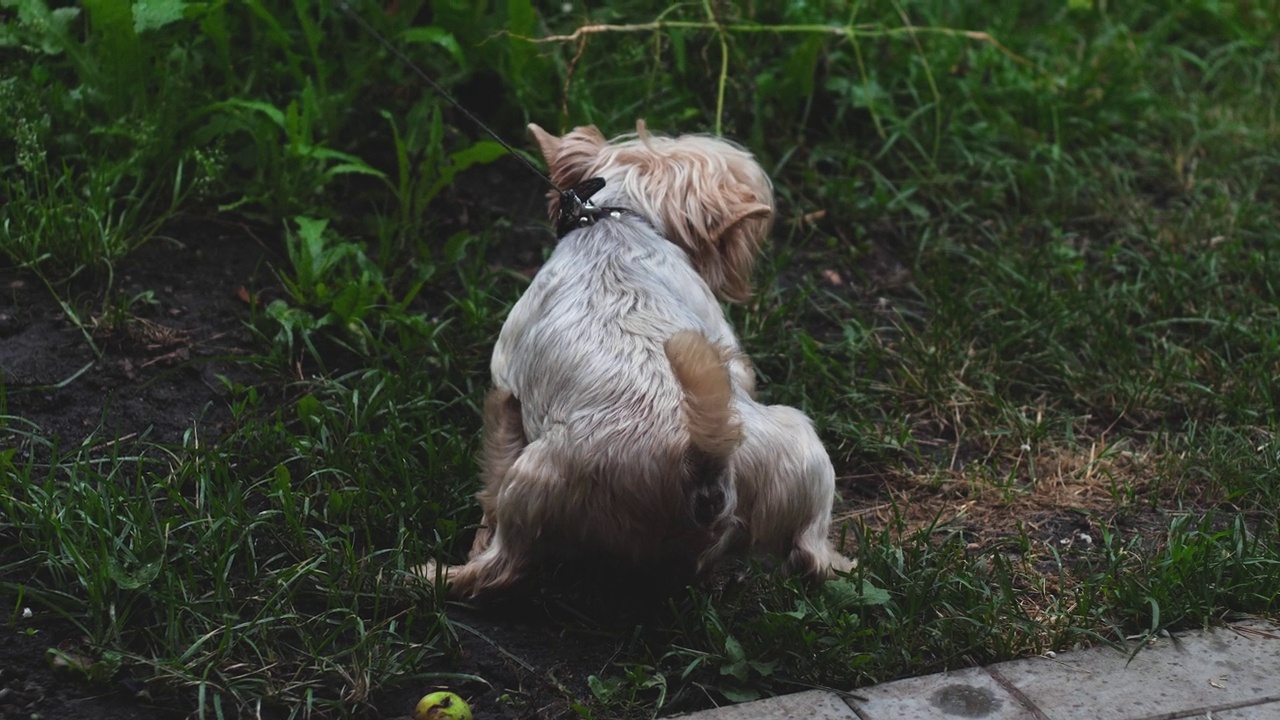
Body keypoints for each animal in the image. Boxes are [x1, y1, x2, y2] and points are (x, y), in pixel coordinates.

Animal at [430, 120, 849, 597]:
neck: (615, 220)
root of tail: (704, 467)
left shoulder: (505, 390)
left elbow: (492, 475)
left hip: (531, 484)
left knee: (503, 563)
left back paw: (441, 574)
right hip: (802, 446)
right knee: (812, 554)